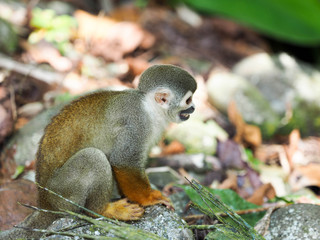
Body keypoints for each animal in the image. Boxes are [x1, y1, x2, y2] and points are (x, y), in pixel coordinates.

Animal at [0, 63, 198, 238]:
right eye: (188, 100)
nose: (194, 108)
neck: (149, 108)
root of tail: (44, 202)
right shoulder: (137, 125)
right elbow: (123, 162)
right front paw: (149, 198)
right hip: (61, 195)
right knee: (93, 157)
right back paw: (102, 210)